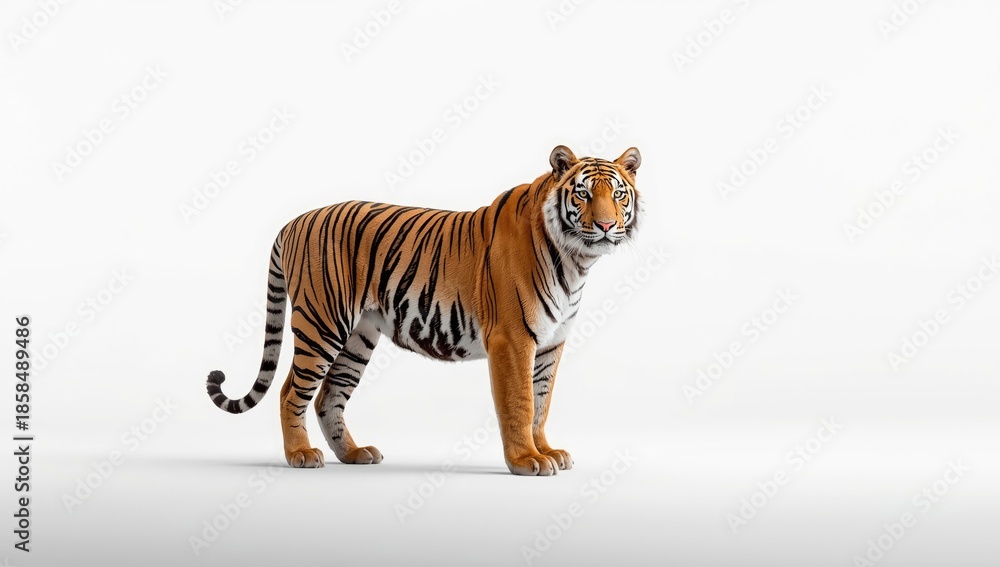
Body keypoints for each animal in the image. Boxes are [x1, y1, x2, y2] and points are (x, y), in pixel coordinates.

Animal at [206, 145, 642, 476]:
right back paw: (299, 454)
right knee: (289, 392)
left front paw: (546, 451)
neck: (575, 261)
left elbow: (542, 402)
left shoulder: (552, 342)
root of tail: (292, 222)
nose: (606, 226)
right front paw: (525, 460)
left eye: (618, 195)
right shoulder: (513, 339)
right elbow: (520, 403)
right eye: (583, 194)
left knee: (328, 396)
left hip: (358, 337)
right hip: (322, 323)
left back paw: (354, 454)